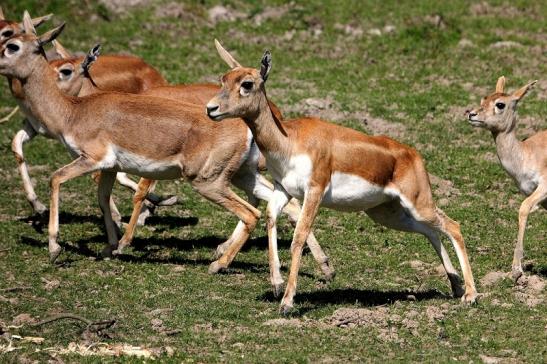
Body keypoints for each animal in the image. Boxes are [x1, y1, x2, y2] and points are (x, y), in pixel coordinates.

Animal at [0, 14, 332, 284]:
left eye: (12, 45)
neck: (74, 111)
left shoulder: (93, 159)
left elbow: (56, 179)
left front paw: (56, 248)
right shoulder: (109, 168)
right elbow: (103, 199)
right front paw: (111, 246)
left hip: (208, 182)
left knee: (252, 213)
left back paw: (219, 264)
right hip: (241, 176)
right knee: (282, 206)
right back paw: (324, 268)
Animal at [208, 39, 478, 312]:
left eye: (247, 84)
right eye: (223, 79)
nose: (211, 109)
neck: (290, 140)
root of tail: (413, 154)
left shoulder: (314, 190)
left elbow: (298, 237)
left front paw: (287, 301)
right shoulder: (282, 188)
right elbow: (271, 217)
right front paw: (276, 284)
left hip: (417, 204)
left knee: (453, 226)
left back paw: (470, 295)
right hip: (387, 213)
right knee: (431, 231)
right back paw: (456, 286)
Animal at [468, 76, 544, 282]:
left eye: (500, 104)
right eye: (483, 99)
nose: (471, 114)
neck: (526, 153)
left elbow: (523, 208)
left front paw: (516, 269)